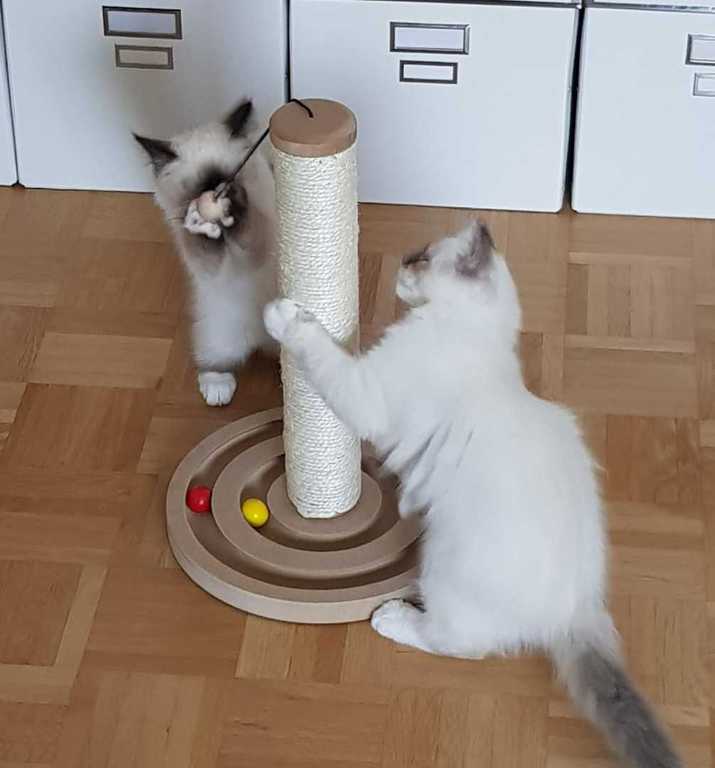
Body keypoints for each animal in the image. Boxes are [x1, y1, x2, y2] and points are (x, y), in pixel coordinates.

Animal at [135, 99, 277, 407]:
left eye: (228, 180)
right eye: (196, 190)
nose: (214, 194)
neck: (227, 238)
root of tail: (260, 341)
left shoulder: (258, 246)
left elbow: (248, 226)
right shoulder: (207, 265)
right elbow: (201, 243)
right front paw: (200, 222)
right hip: (217, 329)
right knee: (214, 361)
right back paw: (218, 390)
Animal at [264, 220, 680, 768]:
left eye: (421, 257)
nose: (401, 262)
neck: (471, 333)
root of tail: (574, 610)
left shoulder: (364, 392)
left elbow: (317, 346)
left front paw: (282, 314)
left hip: (440, 566)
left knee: (457, 644)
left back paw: (393, 619)